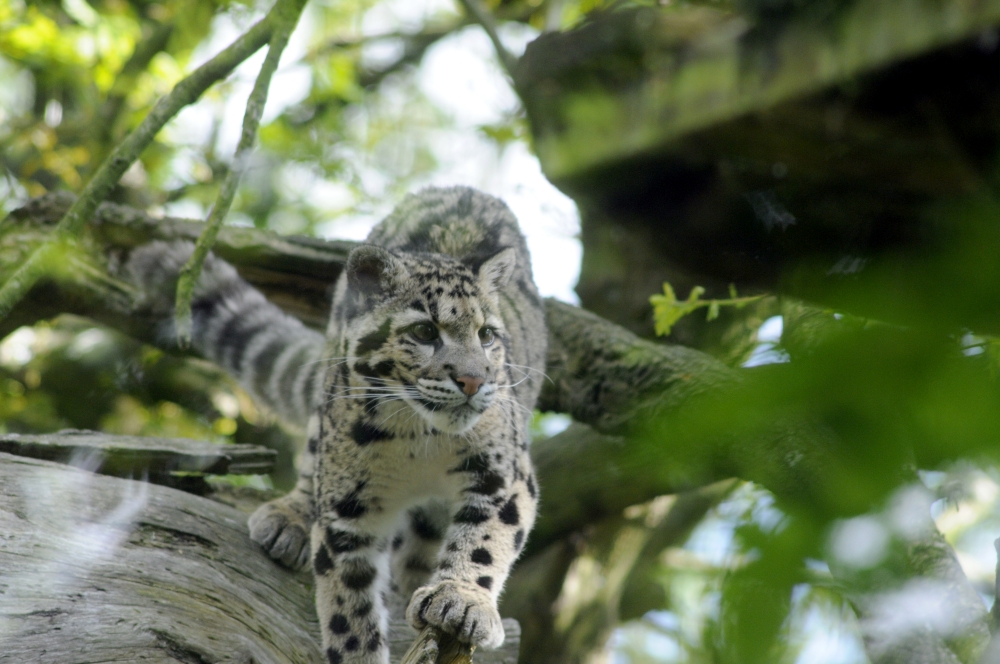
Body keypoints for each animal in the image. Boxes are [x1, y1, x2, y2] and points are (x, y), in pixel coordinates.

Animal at [127, 186, 547, 663]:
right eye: (424, 331)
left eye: (488, 334)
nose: (474, 380)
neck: (421, 439)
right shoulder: (348, 511)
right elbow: (349, 604)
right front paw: (359, 646)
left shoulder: (501, 475)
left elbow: (484, 541)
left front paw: (460, 600)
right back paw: (287, 520)